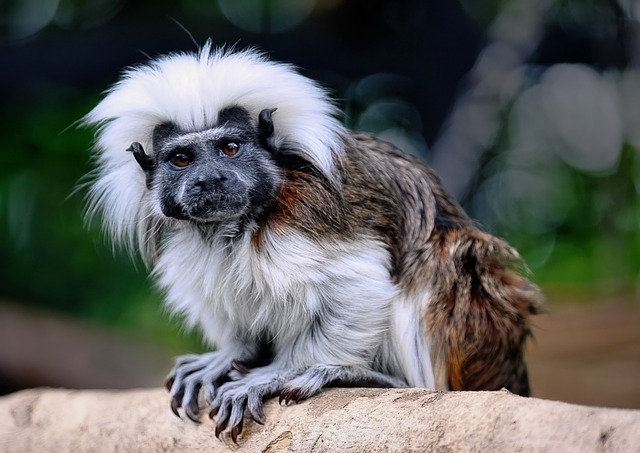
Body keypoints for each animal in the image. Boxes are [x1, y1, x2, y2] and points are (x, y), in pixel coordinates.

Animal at [85, 42, 544, 442]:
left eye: (230, 148)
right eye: (181, 159)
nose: (209, 180)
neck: (237, 223)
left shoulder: (308, 213)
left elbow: (357, 282)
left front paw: (278, 373)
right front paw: (231, 355)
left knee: (441, 261)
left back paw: (373, 377)